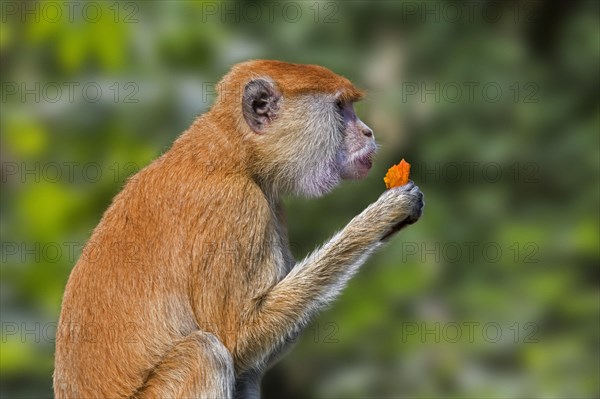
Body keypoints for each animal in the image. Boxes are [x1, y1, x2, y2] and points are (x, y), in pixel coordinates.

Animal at [54, 60, 424, 399]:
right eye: (340, 108)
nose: (368, 132)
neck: (233, 152)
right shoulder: (237, 208)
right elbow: (238, 337)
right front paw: (382, 217)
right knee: (204, 353)